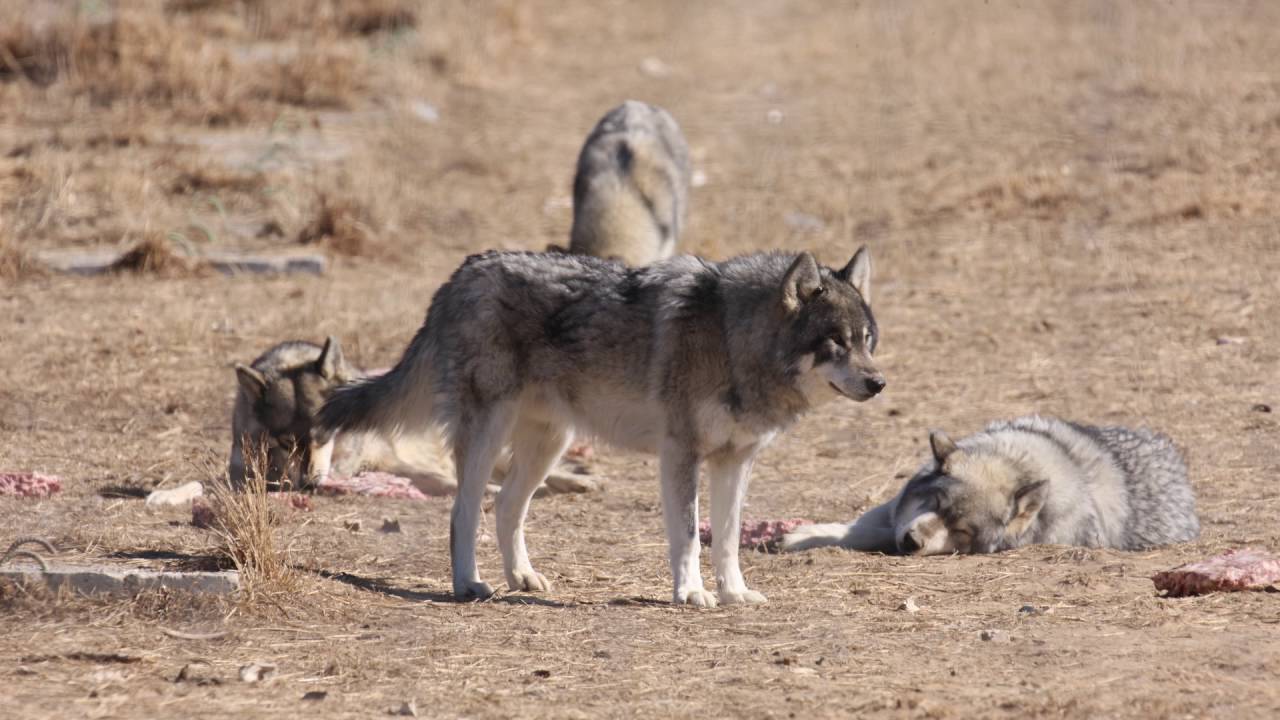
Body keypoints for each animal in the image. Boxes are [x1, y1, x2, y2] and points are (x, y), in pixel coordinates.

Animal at [229, 337, 599, 495]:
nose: (309, 483)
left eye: (323, 434)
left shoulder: (389, 459)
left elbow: (440, 479)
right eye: (285, 443)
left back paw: (579, 480)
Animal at [311, 247, 884, 606]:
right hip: (487, 437)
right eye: (835, 342)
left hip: (549, 445)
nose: (879, 383)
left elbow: (725, 539)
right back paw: (468, 585)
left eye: (866, 340)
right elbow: (688, 537)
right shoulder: (681, 456)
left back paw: (522, 577)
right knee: (462, 513)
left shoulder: (735, 462)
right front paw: (691, 593)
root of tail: (462, 273)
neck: (731, 337)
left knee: (507, 508)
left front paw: (734, 593)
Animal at [780, 415, 1200, 555]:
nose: (911, 543)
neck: (1018, 464)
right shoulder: (895, 510)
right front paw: (802, 535)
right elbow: (858, 526)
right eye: (934, 502)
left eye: (963, 531)